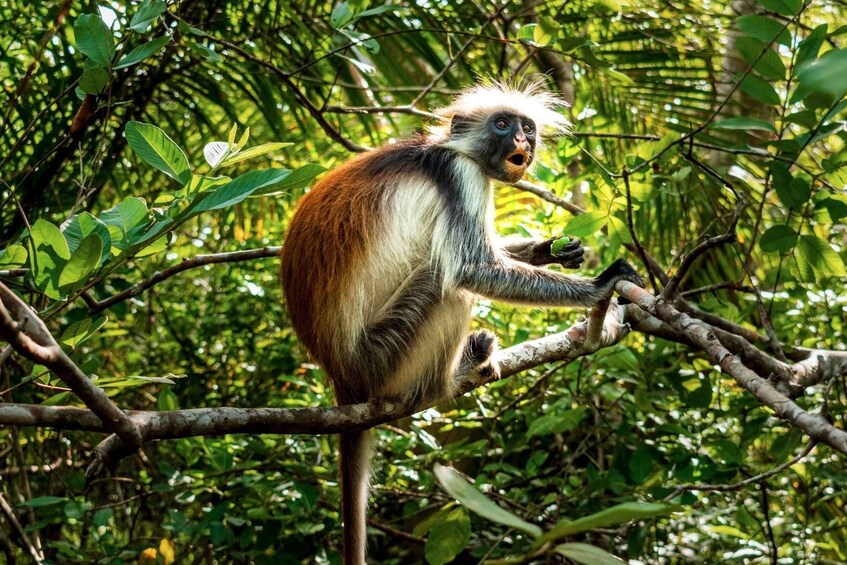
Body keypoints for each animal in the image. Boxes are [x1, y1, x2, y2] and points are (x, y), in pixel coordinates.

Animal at [280, 81, 643, 564]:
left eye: (527, 127)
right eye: (503, 124)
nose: (522, 140)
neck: (447, 149)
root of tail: (341, 375)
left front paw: (552, 249)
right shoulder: (459, 177)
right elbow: (471, 268)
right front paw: (600, 286)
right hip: (384, 356)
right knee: (446, 282)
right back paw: (451, 376)